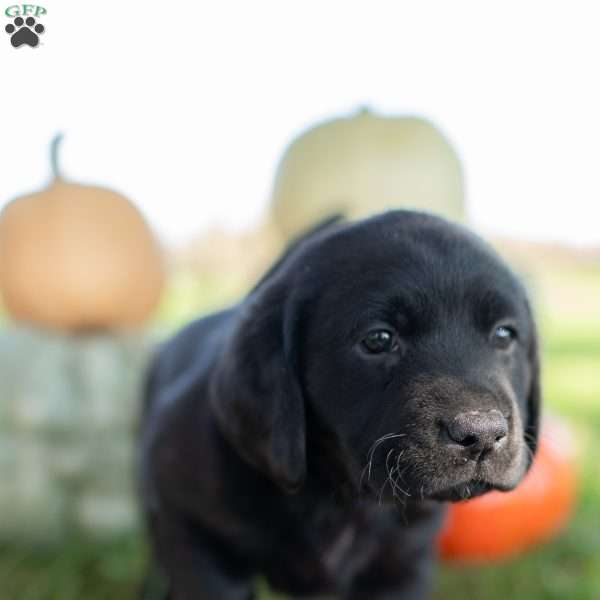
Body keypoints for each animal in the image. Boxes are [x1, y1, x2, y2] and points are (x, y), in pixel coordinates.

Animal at [138, 211, 540, 600]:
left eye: (504, 334)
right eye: (379, 339)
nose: (482, 434)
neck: (338, 496)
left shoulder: (402, 565)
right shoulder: (195, 534)